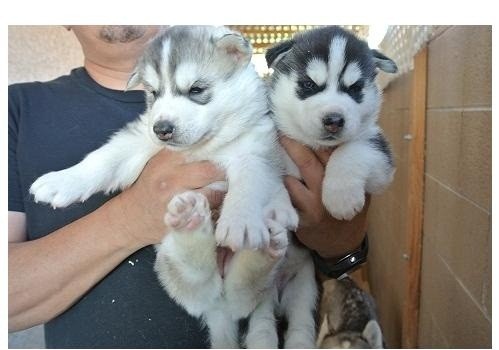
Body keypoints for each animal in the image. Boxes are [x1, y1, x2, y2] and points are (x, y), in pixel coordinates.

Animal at [31, 26, 314, 348]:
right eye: (153, 93)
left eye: (196, 89)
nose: (162, 129)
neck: (207, 145)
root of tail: (219, 308)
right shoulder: (138, 139)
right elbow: (103, 158)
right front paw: (62, 181)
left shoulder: (255, 151)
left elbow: (249, 185)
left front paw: (240, 221)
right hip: (171, 258)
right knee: (201, 281)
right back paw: (192, 225)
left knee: (241, 294)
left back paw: (262, 250)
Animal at [266, 26, 398, 220]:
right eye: (309, 85)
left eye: (355, 88)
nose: (334, 120)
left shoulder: (382, 167)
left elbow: (353, 149)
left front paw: (342, 197)